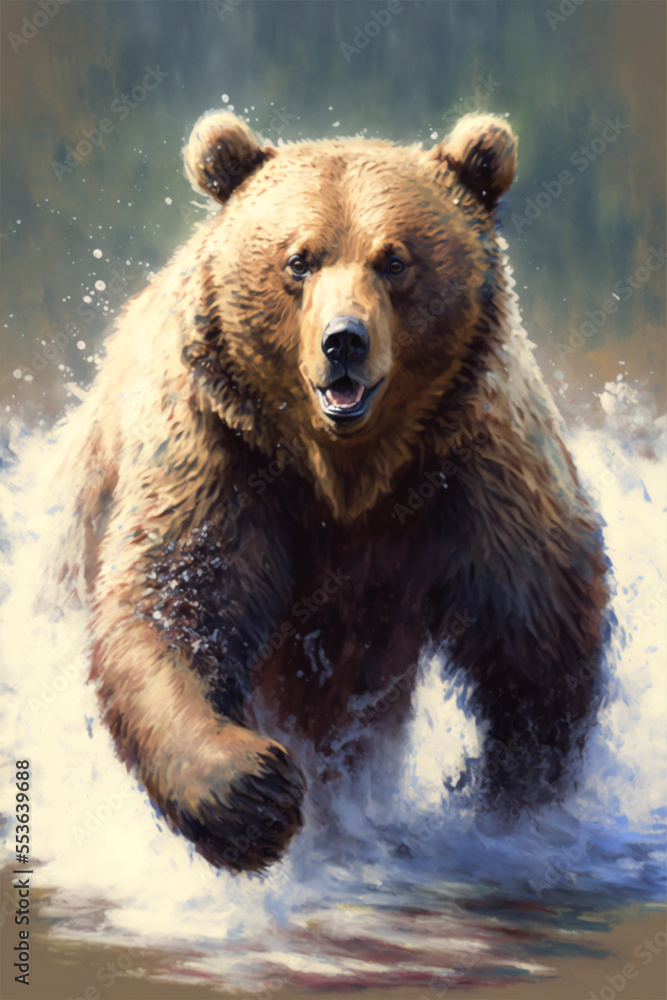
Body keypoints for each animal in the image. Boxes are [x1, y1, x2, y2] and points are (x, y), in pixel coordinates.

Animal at [55, 109, 609, 872]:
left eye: (394, 260)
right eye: (300, 259)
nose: (343, 341)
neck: (346, 472)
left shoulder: (476, 468)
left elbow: (536, 638)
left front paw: (508, 804)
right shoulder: (222, 450)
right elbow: (173, 601)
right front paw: (251, 792)